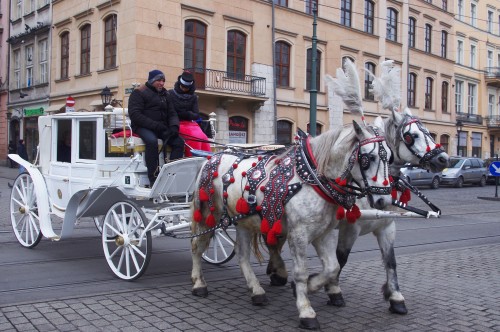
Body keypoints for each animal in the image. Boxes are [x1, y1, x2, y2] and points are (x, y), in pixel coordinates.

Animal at [191, 115, 394, 328]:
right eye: (368, 158)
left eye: (390, 157)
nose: (384, 201)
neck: (312, 178)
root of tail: (212, 157)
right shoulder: (299, 234)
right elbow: (301, 272)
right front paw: (306, 310)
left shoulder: (324, 233)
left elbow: (332, 267)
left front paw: (310, 286)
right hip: (207, 214)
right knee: (197, 246)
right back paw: (199, 284)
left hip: (243, 222)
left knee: (242, 255)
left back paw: (256, 291)